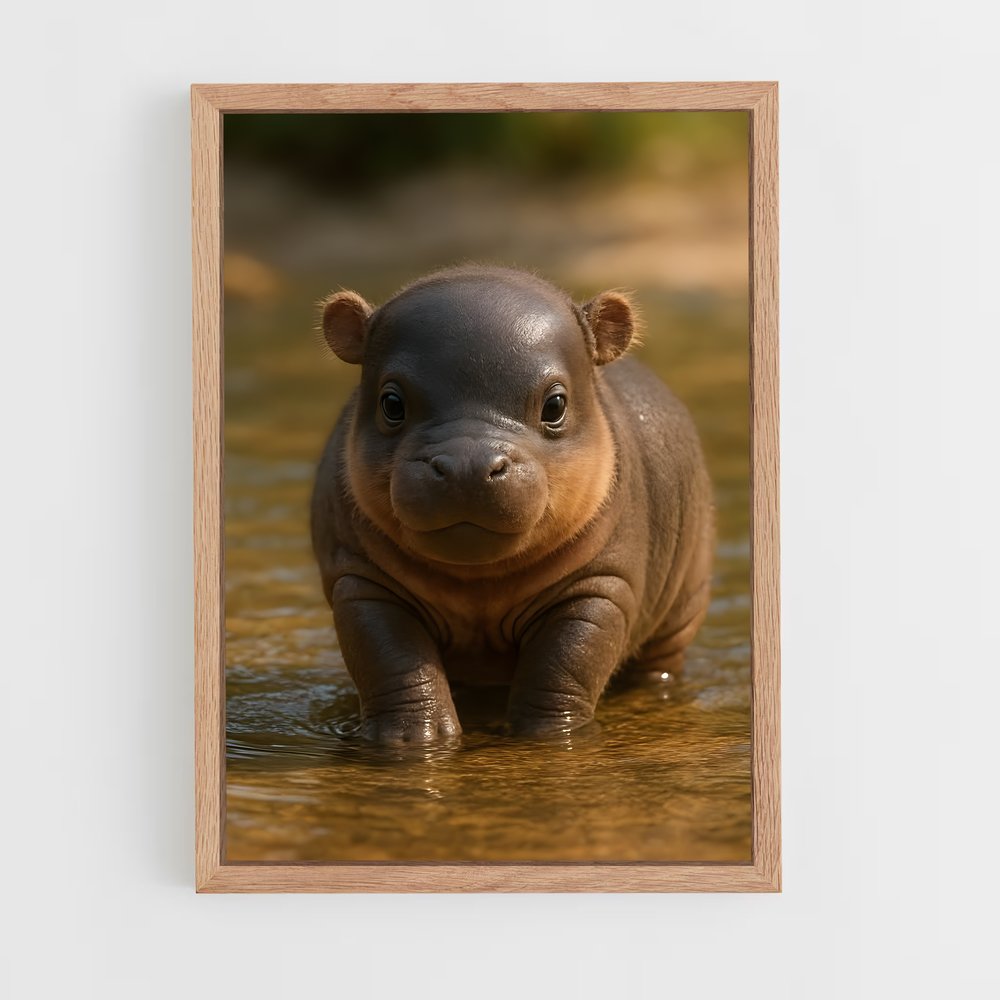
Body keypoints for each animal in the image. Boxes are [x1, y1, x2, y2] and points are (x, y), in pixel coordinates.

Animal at [310, 265, 714, 744]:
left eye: (555, 404)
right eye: (392, 403)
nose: (467, 465)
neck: (480, 582)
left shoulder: (600, 585)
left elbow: (565, 665)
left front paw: (550, 738)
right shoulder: (361, 582)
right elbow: (393, 664)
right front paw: (412, 741)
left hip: (683, 606)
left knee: (658, 662)